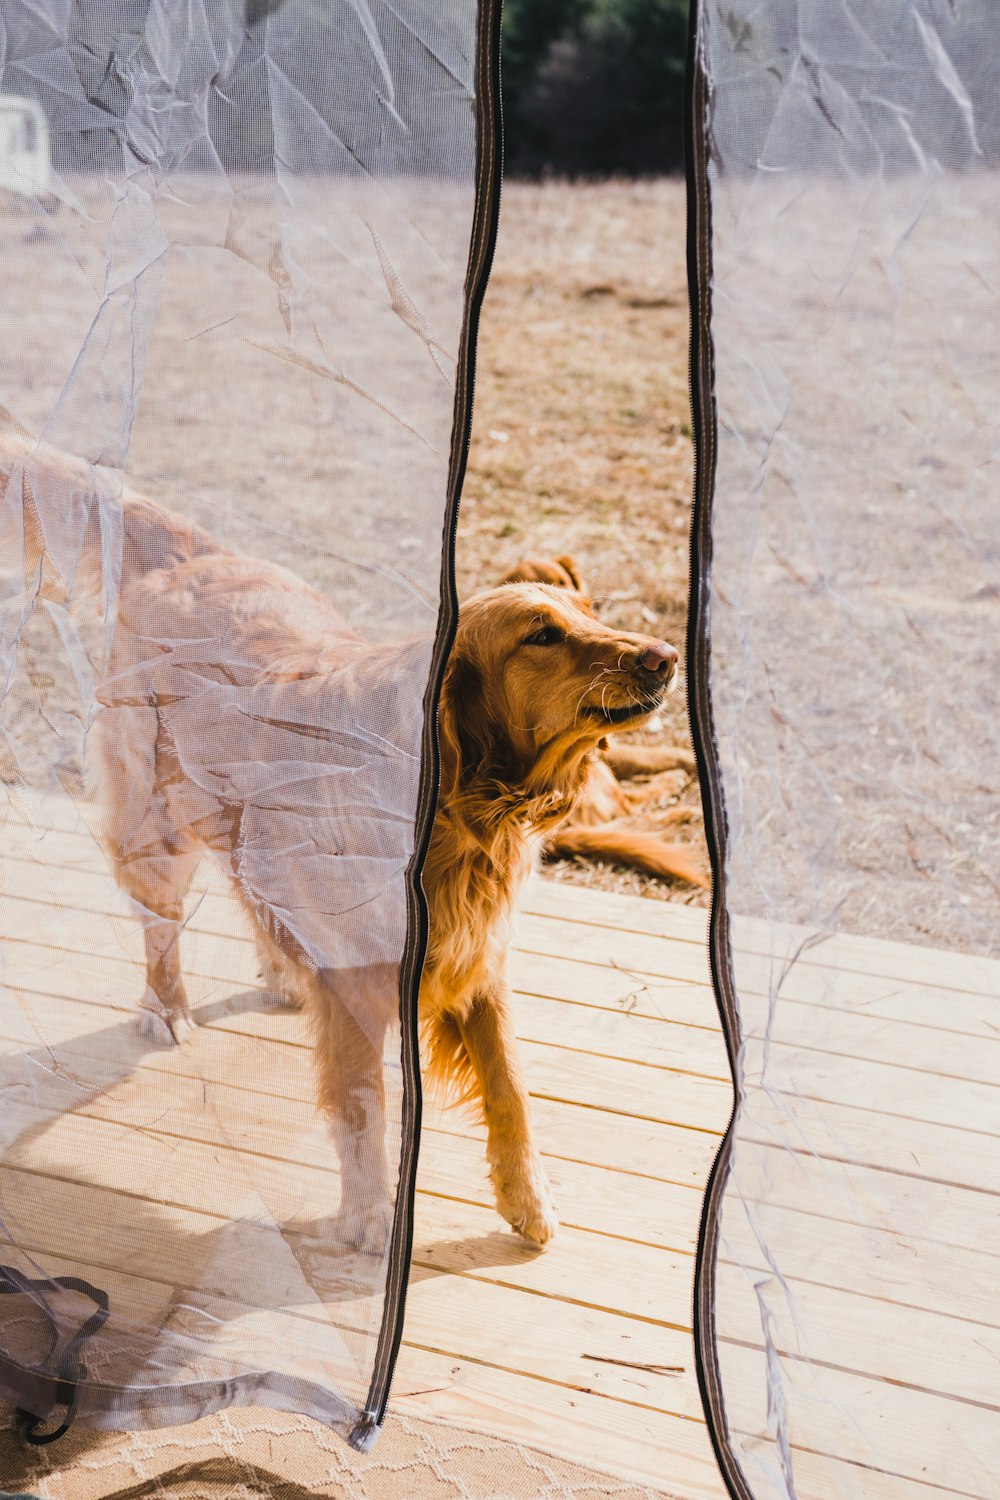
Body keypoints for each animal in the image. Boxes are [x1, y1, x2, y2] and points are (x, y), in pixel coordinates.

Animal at [5, 438, 689, 1254]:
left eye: (593, 612)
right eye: (542, 636)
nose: (665, 654)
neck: (461, 814)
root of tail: (196, 554)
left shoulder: (480, 962)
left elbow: (512, 1090)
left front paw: (527, 1200)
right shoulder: (363, 991)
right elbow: (365, 1110)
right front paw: (369, 1216)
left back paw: (281, 969)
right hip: (158, 818)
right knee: (160, 923)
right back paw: (168, 1007)